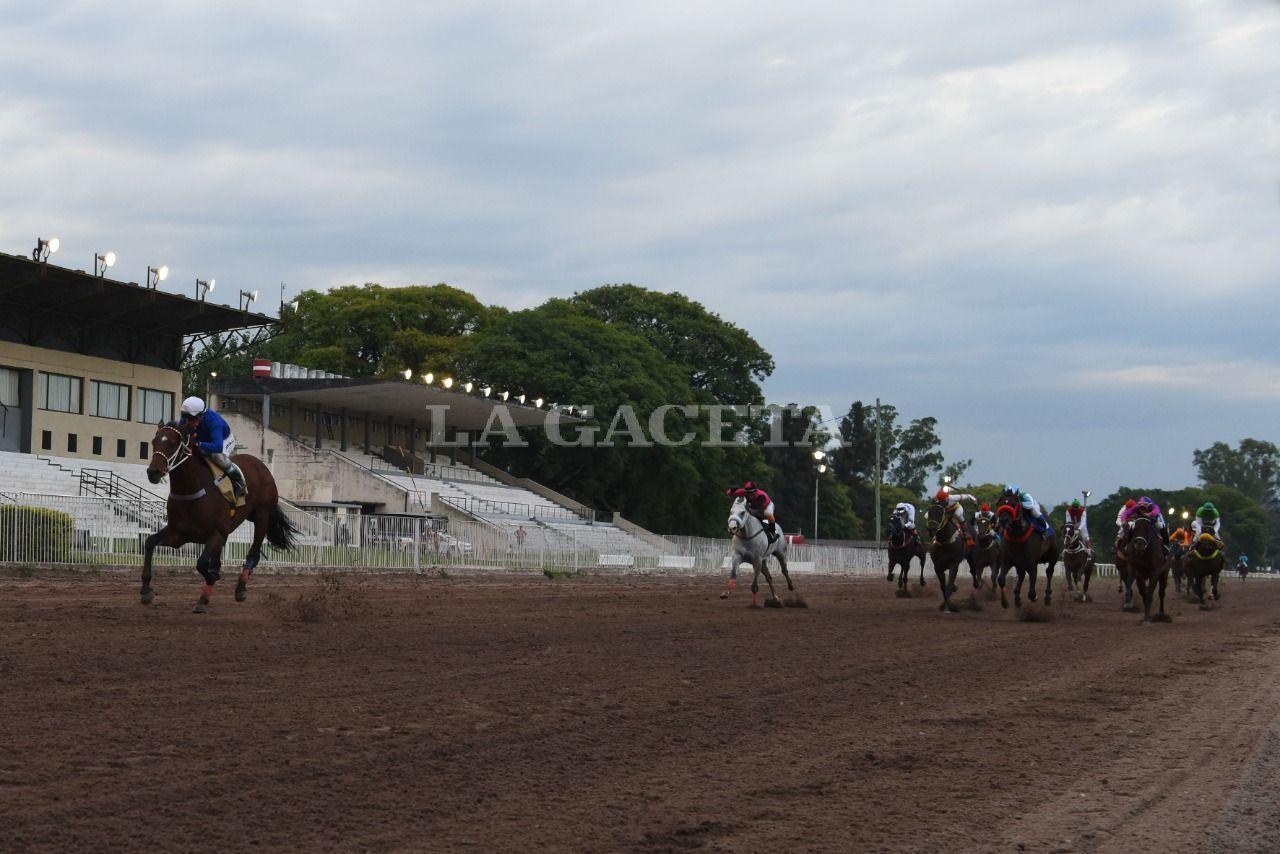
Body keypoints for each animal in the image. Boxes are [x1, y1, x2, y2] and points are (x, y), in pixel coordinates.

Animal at [143, 422, 299, 612]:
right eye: (154, 441)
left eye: (172, 443)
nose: (153, 472)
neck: (192, 490)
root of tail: (261, 465)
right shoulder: (177, 535)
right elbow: (149, 542)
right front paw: (146, 590)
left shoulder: (217, 533)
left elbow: (202, 563)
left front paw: (211, 582)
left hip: (262, 515)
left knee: (253, 554)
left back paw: (240, 589)